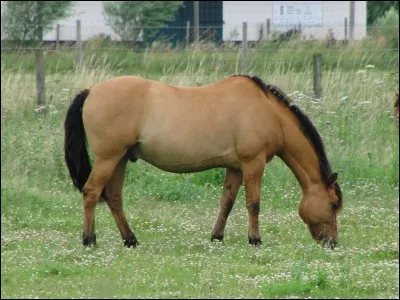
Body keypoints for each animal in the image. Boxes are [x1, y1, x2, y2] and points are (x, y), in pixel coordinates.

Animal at [64, 74, 342, 248]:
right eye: (332, 205)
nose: (332, 243)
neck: (268, 111)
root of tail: (91, 91)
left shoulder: (235, 167)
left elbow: (227, 202)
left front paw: (217, 236)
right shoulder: (253, 163)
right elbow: (253, 204)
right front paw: (254, 239)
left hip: (120, 159)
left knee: (113, 197)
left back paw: (130, 239)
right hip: (108, 158)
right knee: (91, 192)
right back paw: (89, 239)